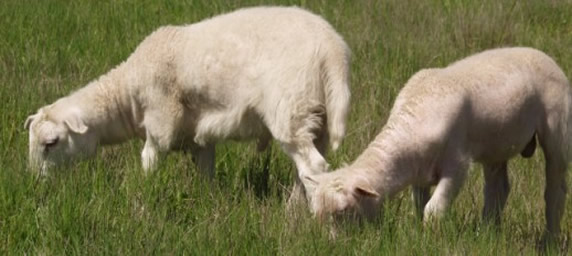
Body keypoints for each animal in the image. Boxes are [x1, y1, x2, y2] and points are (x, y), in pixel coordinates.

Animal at [24, 6, 350, 204]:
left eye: (51, 143)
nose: (35, 184)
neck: (127, 95)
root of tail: (332, 49)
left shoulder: (160, 120)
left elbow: (149, 159)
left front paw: (144, 193)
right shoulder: (199, 135)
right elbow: (205, 172)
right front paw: (207, 202)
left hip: (291, 108)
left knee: (314, 165)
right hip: (316, 116)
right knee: (308, 167)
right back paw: (293, 207)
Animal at [308, 47, 572, 238]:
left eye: (344, 211)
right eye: (316, 213)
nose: (330, 244)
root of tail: (545, 56)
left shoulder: (457, 165)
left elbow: (433, 210)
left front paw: (430, 239)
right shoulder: (418, 173)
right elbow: (418, 206)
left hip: (557, 127)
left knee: (555, 190)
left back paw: (549, 239)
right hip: (496, 144)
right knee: (498, 189)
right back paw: (487, 232)